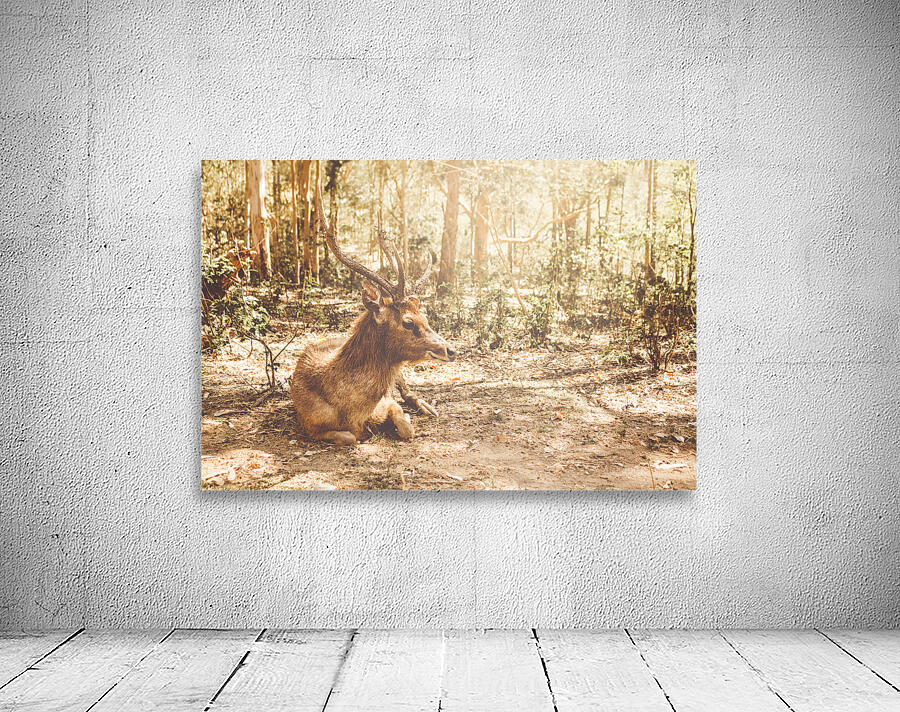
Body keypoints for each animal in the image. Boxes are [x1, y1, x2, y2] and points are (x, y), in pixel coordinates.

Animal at [290, 188, 456, 446]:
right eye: (408, 322)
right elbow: (350, 437)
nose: (451, 350)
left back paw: (426, 406)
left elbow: (406, 426)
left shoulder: (388, 402)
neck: (353, 412)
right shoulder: (308, 425)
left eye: (426, 317)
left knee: (406, 388)